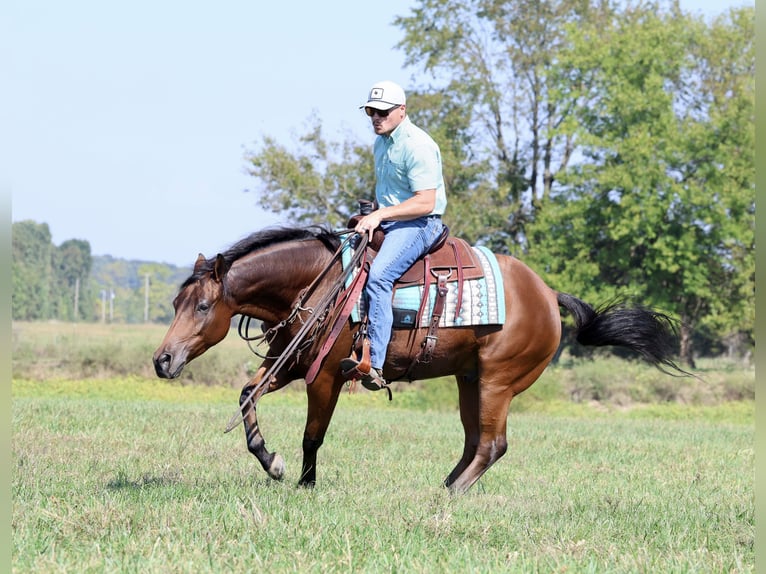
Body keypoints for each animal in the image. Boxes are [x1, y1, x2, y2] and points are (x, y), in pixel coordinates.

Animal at [153, 226, 684, 494]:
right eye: (176, 303)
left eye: (203, 306)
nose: (162, 360)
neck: (321, 285)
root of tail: (548, 294)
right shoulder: (292, 362)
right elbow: (247, 397)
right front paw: (271, 461)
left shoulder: (324, 375)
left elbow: (312, 436)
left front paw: (304, 484)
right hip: (470, 380)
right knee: (475, 441)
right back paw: (445, 485)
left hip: (498, 381)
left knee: (493, 445)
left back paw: (449, 495)